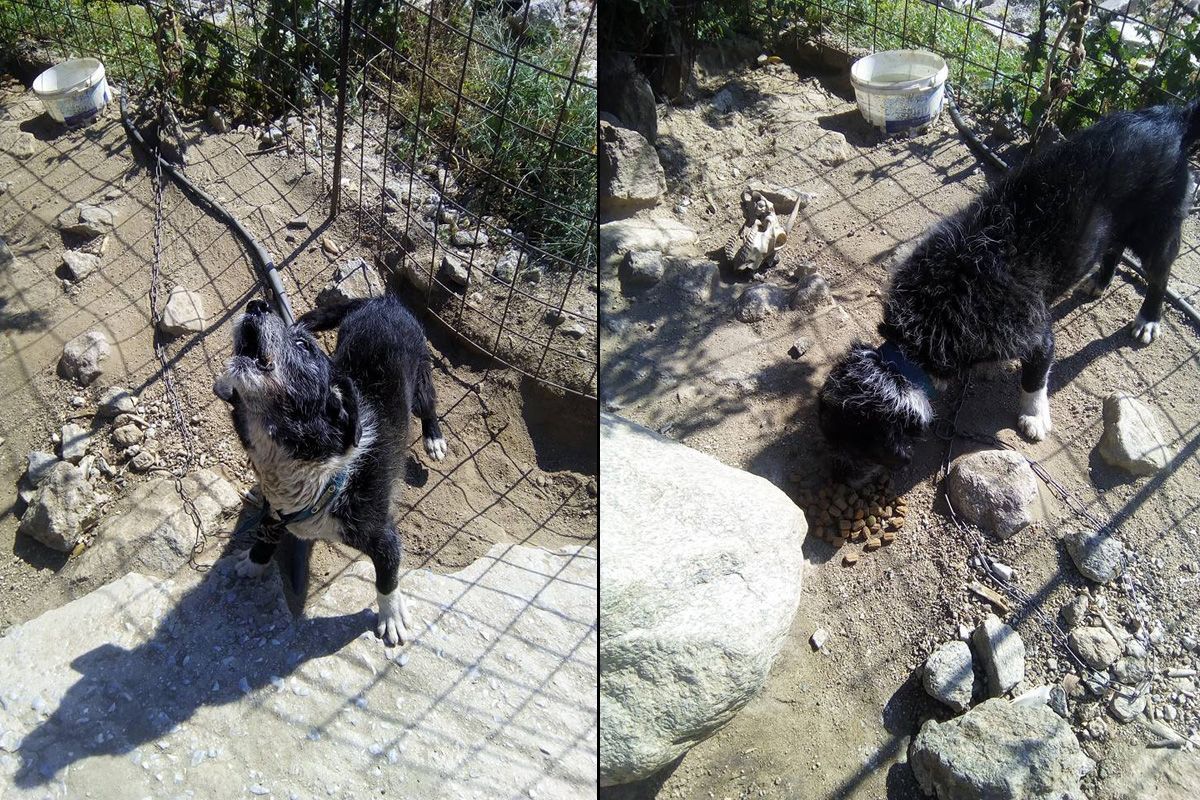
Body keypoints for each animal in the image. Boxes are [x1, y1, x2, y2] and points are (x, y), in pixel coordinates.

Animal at [213, 296, 447, 645]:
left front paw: (391, 616)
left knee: (429, 406)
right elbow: (266, 536)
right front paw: (254, 563)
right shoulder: (275, 509)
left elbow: (387, 579)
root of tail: (384, 300)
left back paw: (434, 439)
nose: (257, 305)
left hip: (419, 381)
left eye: (302, 345)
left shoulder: (383, 537)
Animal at [819, 100, 1200, 483]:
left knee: (1160, 275)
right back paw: (1100, 281)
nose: (837, 478)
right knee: (1114, 246)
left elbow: (1034, 379)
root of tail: (1171, 117)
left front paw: (1034, 416)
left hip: (1158, 229)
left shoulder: (1037, 337)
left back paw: (1148, 319)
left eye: (863, 450)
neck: (927, 319)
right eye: (830, 438)